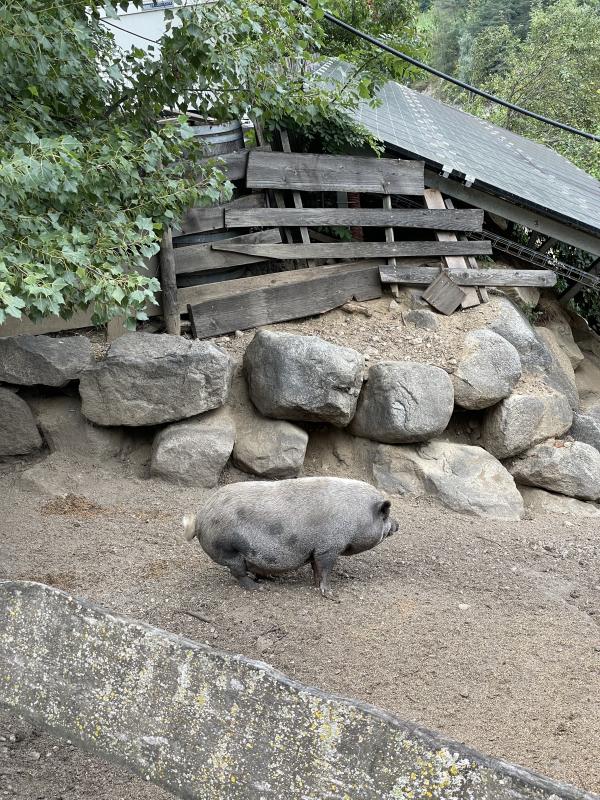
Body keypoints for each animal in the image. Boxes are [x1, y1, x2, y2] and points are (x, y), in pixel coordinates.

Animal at [183, 476, 398, 600]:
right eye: (385, 515)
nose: (398, 525)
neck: (356, 516)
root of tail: (199, 519)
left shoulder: (316, 549)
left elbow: (315, 568)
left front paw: (314, 584)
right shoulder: (329, 547)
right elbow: (325, 570)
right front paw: (331, 596)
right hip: (228, 549)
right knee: (237, 572)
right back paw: (259, 588)